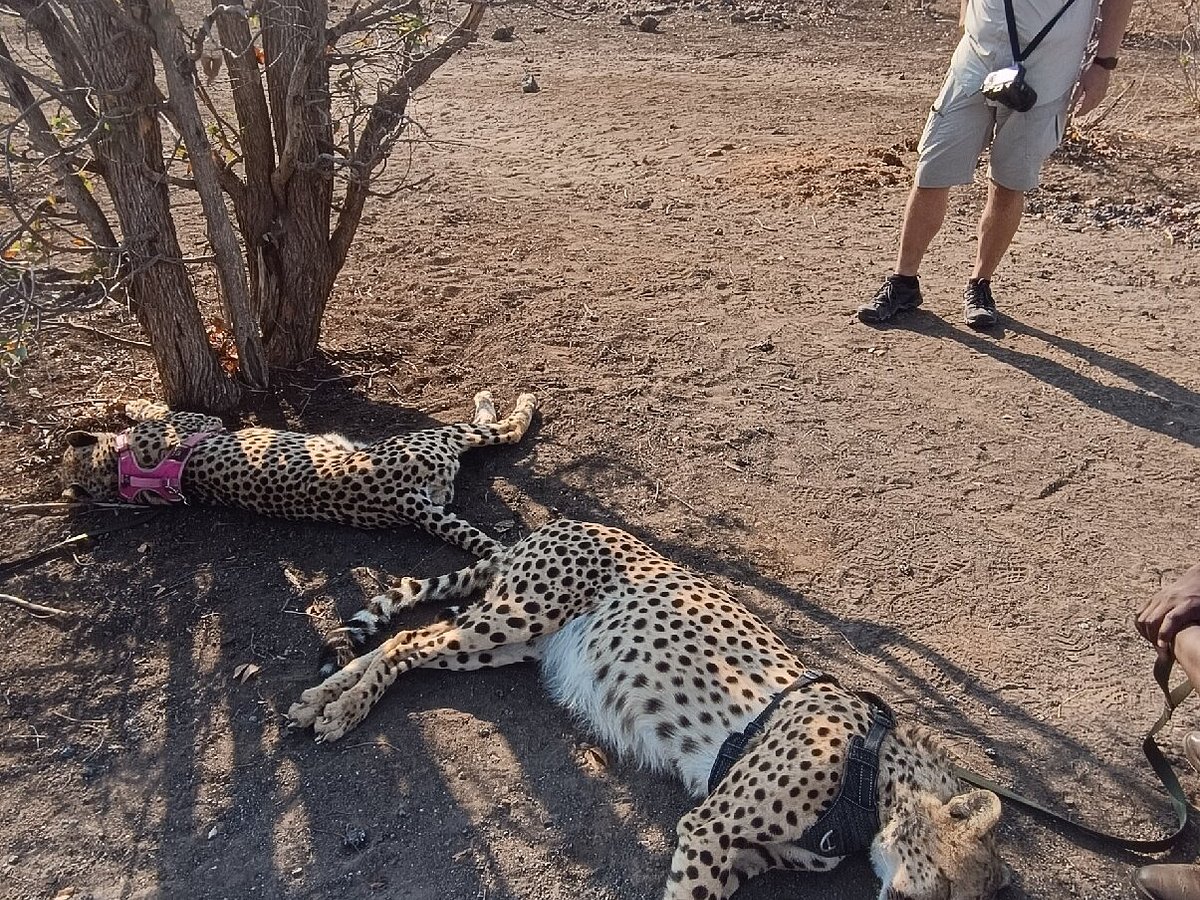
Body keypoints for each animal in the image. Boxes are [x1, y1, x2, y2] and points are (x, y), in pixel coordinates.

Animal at [59, 391, 536, 557]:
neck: (118, 470)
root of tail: (403, 503)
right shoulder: (201, 420)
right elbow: (153, 408)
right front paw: (130, 406)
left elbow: (148, 408)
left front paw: (124, 406)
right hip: (440, 436)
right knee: (504, 429)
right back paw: (507, 400)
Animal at [287, 518, 1012, 900]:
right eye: (952, 887)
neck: (875, 771)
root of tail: (554, 523)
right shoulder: (709, 828)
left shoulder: (739, 856)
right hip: (517, 615)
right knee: (410, 640)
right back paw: (337, 709)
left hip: (511, 642)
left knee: (409, 644)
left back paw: (323, 698)